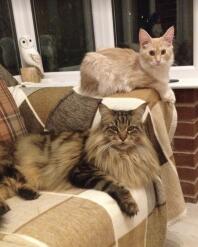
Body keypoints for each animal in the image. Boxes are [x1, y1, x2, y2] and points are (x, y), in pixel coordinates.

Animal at [0, 103, 159, 219]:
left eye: (131, 128)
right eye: (114, 128)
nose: (123, 137)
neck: (123, 155)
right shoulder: (82, 171)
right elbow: (116, 185)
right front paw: (130, 204)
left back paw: (29, 193)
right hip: (9, 169)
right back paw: (4, 207)